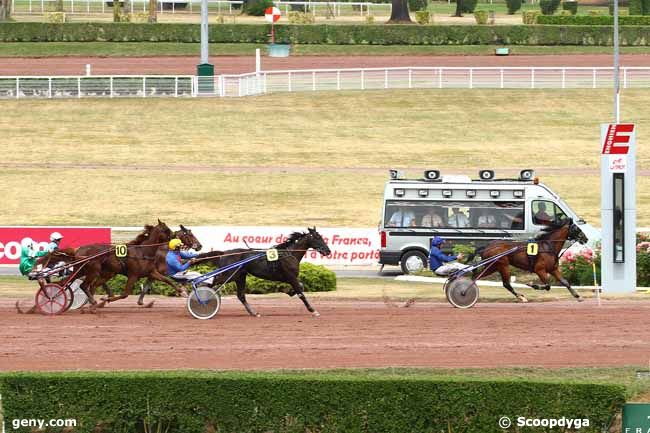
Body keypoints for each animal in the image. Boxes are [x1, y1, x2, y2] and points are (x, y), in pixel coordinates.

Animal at [195, 228, 330, 316]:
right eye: (318, 238)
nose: (328, 251)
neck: (289, 254)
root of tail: (224, 253)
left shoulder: (288, 278)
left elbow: (300, 287)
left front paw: (288, 291)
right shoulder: (291, 277)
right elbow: (301, 293)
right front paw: (313, 310)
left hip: (240, 276)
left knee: (241, 295)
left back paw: (254, 313)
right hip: (229, 274)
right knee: (208, 283)